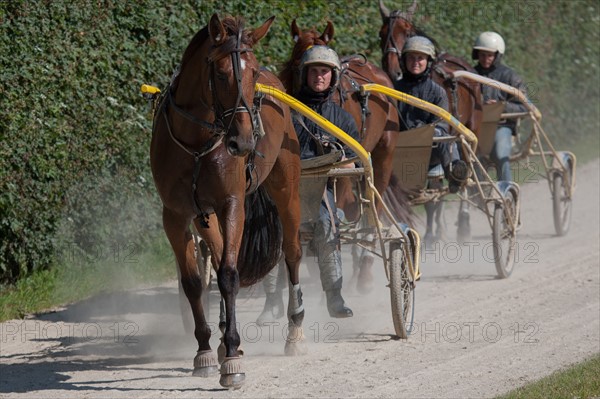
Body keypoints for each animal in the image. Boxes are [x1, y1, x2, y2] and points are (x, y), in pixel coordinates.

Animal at [150, 14, 304, 390]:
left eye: (252, 73)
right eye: (220, 74)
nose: (245, 141)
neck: (196, 143)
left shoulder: (232, 203)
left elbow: (230, 276)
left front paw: (232, 358)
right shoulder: (175, 214)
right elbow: (194, 282)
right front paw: (206, 349)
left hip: (287, 187)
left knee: (292, 252)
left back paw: (294, 329)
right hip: (203, 216)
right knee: (218, 254)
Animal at [380, 0, 482, 245]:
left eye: (407, 32)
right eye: (381, 34)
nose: (393, 71)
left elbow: (434, 190)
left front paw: (431, 234)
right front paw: (433, 231)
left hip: (469, 130)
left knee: (465, 173)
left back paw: (463, 223)